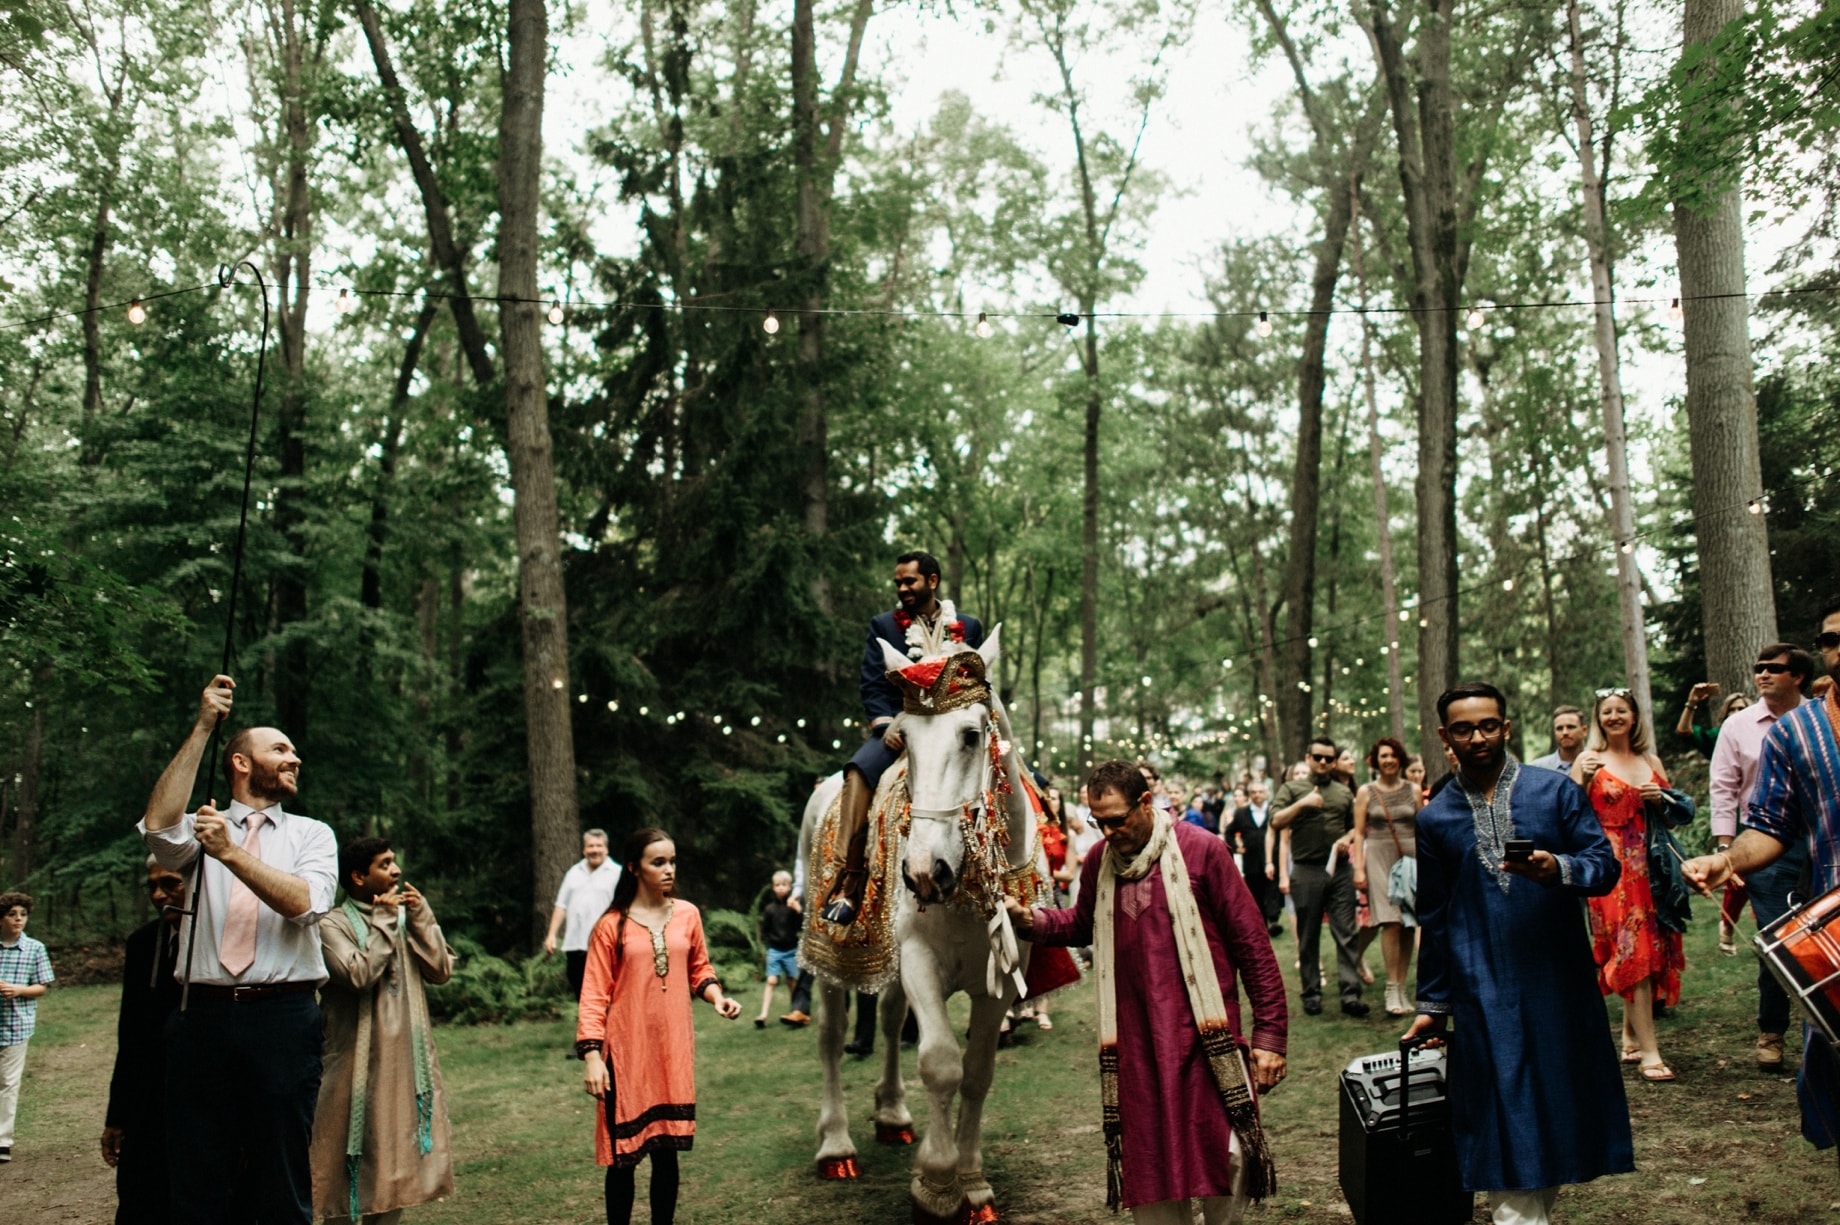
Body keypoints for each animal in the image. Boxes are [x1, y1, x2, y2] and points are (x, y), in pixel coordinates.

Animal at [798, 629, 1045, 1221]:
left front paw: (972, 1183)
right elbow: (940, 1062)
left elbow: (977, 1071)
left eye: (971, 735)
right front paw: (935, 1183)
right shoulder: (918, 959)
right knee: (831, 1034)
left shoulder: (1001, 978)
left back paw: (893, 1115)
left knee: (889, 1021)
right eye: (904, 740)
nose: (922, 872)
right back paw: (835, 1145)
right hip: (829, 953)